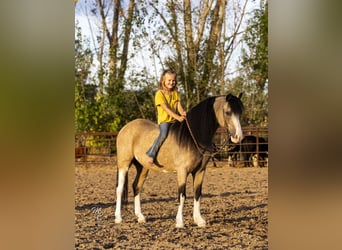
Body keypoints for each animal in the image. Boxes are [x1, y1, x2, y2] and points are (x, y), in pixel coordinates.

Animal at [115, 93, 243, 228]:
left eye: (240, 112)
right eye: (228, 112)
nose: (238, 137)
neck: (194, 137)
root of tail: (125, 128)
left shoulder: (200, 171)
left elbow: (197, 193)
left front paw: (199, 220)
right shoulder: (182, 171)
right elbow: (182, 195)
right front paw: (180, 222)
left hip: (143, 167)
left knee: (136, 186)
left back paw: (140, 217)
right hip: (124, 164)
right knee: (120, 189)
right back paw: (118, 218)